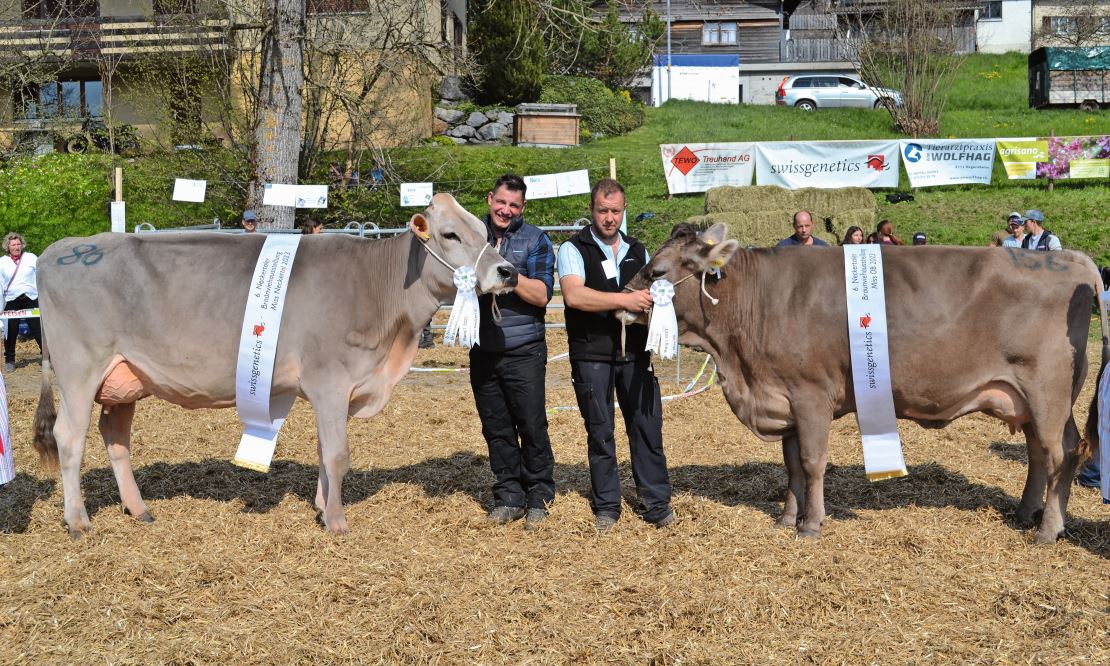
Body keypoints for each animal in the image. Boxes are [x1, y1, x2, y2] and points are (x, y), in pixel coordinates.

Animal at [32, 192, 517, 535]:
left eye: (485, 230)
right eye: (450, 235)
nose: (507, 272)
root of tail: (62, 248)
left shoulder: (333, 390)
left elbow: (324, 450)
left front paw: (321, 507)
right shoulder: (330, 381)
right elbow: (338, 454)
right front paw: (337, 521)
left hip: (123, 377)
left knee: (114, 437)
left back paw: (139, 509)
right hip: (78, 369)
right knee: (68, 437)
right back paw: (78, 521)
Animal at [621, 222, 1105, 541]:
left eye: (657, 272)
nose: (623, 303)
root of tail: (1073, 259)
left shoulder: (811, 394)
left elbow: (813, 462)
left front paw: (811, 525)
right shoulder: (784, 395)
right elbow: (792, 465)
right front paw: (787, 517)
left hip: (1048, 391)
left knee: (1060, 452)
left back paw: (1048, 529)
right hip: (1028, 398)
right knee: (1041, 453)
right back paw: (1027, 513)